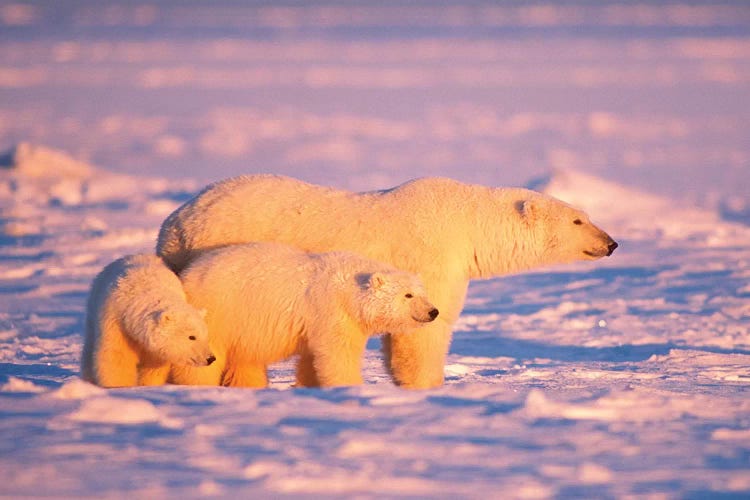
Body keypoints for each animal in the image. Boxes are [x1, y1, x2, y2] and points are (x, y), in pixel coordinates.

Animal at [83, 254, 217, 386]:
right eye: (191, 337)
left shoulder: (153, 347)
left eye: (206, 335)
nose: (210, 358)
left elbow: (152, 366)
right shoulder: (116, 321)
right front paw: (119, 386)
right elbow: (117, 356)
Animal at [170, 242, 440, 390]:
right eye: (407, 295)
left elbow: (313, 357)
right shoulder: (331, 310)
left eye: (422, 292)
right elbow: (338, 354)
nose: (433, 311)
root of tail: (188, 274)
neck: (349, 290)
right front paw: (351, 386)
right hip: (220, 311)